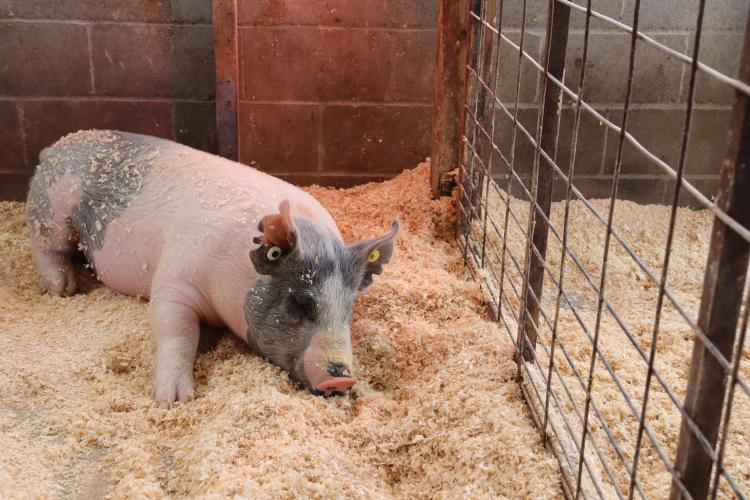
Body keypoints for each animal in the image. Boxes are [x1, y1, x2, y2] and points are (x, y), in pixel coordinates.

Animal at [26, 130, 399, 408]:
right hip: (52, 212)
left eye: (350, 308)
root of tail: (53, 148)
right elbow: (178, 331)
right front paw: (173, 401)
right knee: (44, 246)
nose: (343, 378)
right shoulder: (175, 278)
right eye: (300, 302)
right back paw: (62, 289)